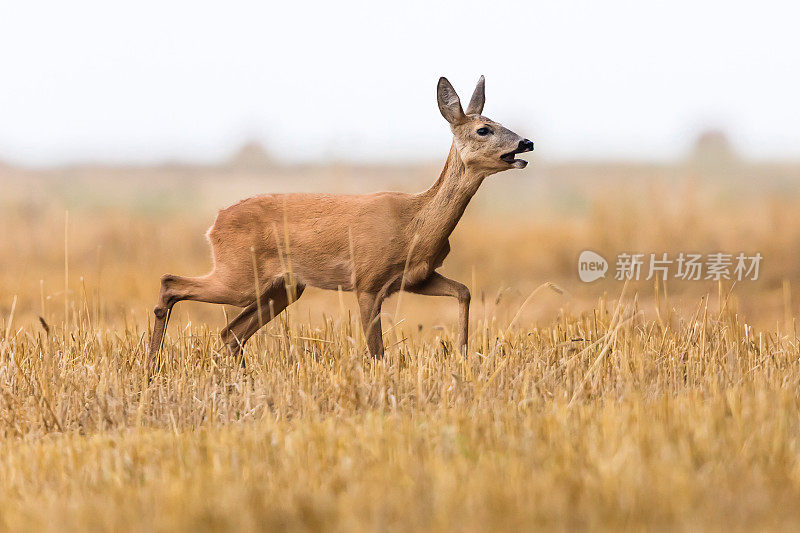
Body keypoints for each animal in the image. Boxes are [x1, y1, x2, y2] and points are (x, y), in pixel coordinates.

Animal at [145, 76, 532, 374]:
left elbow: (464, 291)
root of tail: (215, 224)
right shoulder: (367, 281)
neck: (415, 224)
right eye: (484, 129)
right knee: (170, 283)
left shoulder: (415, 278)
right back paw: (151, 369)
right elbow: (377, 351)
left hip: (283, 287)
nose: (526, 142)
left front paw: (464, 355)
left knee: (231, 332)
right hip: (239, 276)